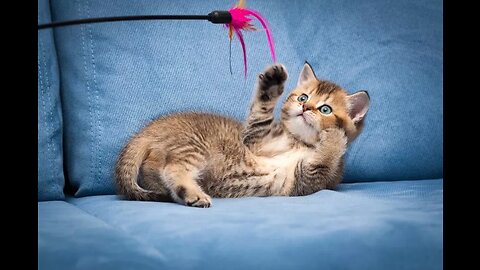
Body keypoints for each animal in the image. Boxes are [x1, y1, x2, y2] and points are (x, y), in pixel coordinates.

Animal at [114, 62, 370, 208]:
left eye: (325, 109)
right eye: (303, 97)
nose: (305, 108)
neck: (299, 141)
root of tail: (151, 128)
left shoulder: (308, 179)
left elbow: (326, 156)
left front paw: (335, 135)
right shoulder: (255, 139)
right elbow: (261, 112)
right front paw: (272, 82)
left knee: (161, 169)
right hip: (195, 145)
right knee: (172, 168)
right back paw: (192, 193)